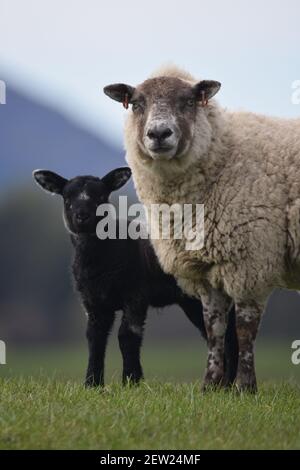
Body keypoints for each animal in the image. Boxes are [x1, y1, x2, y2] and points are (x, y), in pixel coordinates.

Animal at [32, 167, 239, 388]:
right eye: (67, 198)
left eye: (101, 196)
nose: (82, 216)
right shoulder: (93, 301)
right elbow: (95, 338)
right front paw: (92, 383)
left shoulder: (135, 294)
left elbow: (128, 335)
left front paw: (132, 380)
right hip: (191, 301)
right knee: (215, 334)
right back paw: (222, 384)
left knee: (227, 336)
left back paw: (228, 385)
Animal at [104, 64, 300, 392]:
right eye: (137, 103)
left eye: (187, 101)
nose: (159, 133)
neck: (223, 153)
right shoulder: (205, 269)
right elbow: (214, 326)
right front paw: (211, 386)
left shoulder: (250, 259)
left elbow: (245, 328)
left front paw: (245, 387)